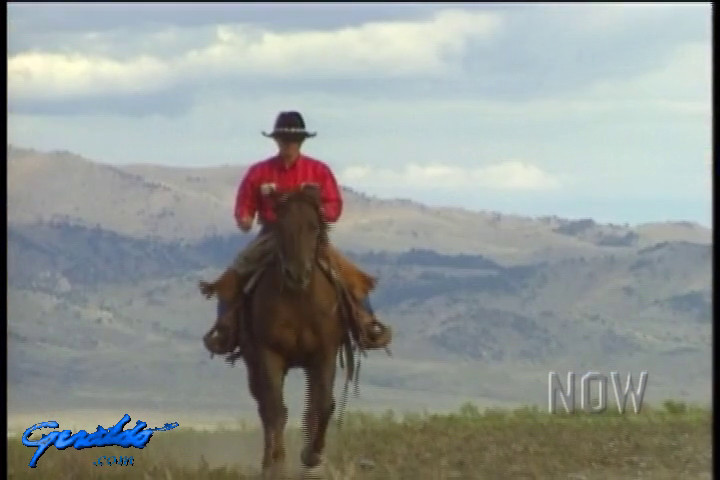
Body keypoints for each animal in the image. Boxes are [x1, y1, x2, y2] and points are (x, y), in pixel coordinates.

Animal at [240, 186, 356, 478]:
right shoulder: (269, 354)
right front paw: (277, 464)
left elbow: (323, 405)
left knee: (311, 406)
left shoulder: (324, 354)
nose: (297, 273)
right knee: (265, 408)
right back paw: (268, 462)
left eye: (314, 227)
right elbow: (275, 410)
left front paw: (312, 456)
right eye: (281, 226)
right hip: (253, 363)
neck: (299, 299)